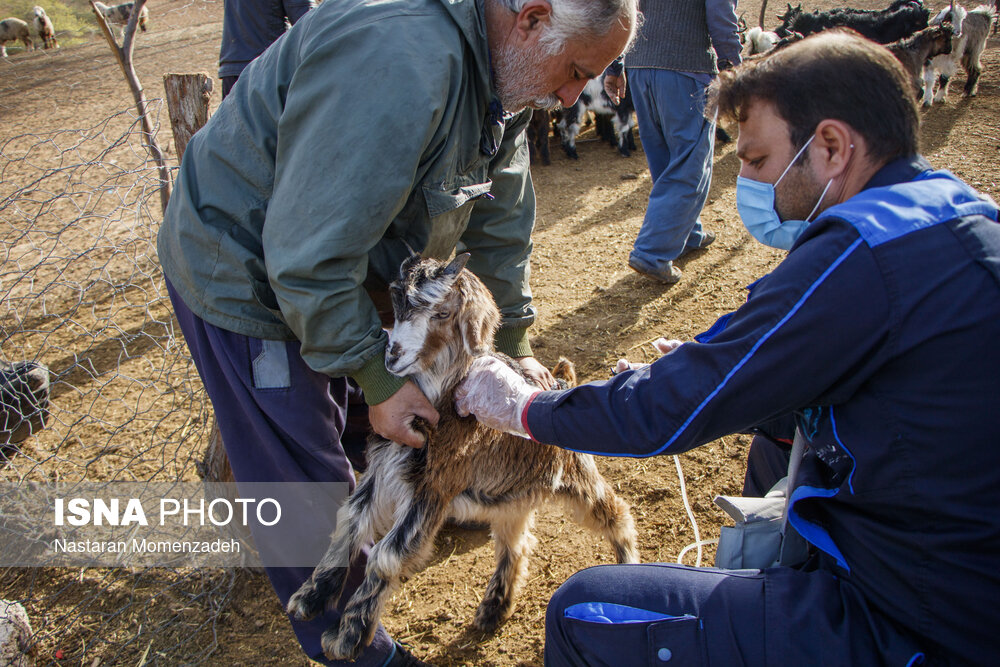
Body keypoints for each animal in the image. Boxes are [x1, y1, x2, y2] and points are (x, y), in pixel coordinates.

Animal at [286, 256, 636, 664]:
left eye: (441, 312)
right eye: (396, 301)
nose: (392, 357)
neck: (439, 399)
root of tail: (561, 381)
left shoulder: (433, 488)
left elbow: (386, 556)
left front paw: (347, 637)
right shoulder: (381, 470)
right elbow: (349, 522)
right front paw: (310, 596)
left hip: (575, 477)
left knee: (616, 512)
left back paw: (629, 566)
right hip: (510, 496)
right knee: (516, 543)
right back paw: (493, 608)